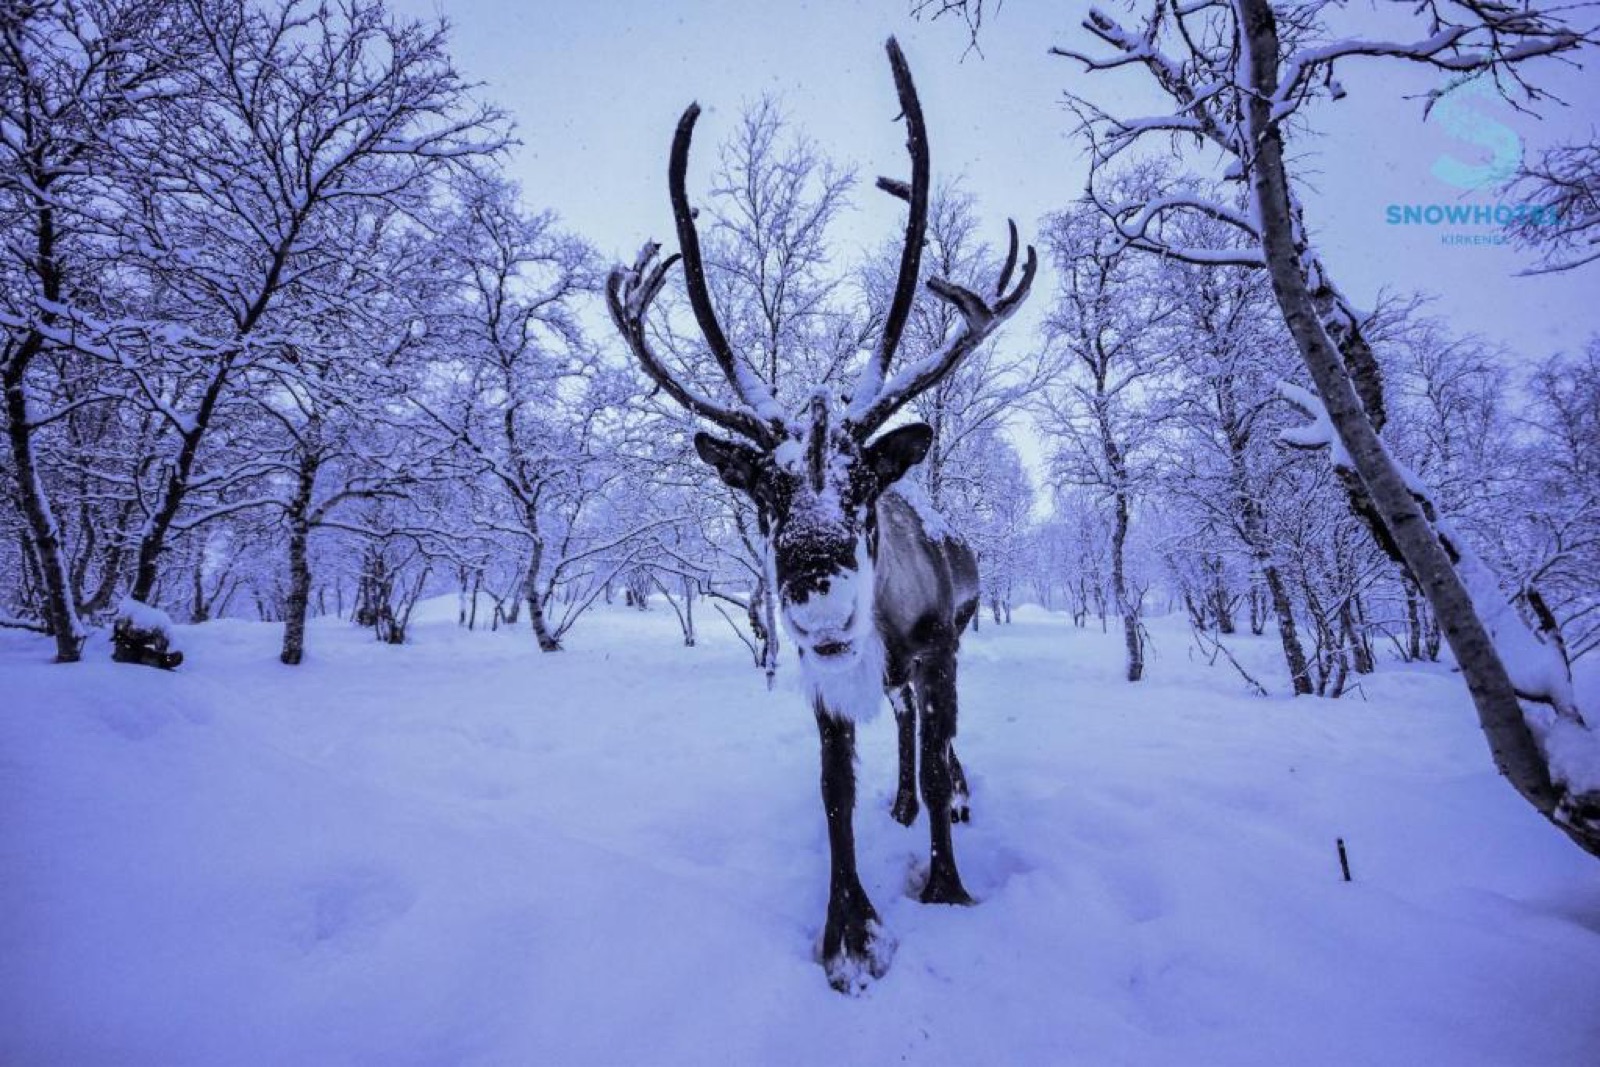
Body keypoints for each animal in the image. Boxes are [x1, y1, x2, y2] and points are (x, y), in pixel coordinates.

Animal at [606, 37, 1035, 993]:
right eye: (762, 490)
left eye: (863, 483)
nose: (815, 591)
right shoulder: (820, 679)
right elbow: (834, 792)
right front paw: (849, 934)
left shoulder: (938, 646)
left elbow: (941, 744)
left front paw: (945, 887)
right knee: (907, 726)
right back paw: (903, 798)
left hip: (954, 644)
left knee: (938, 731)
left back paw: (948, 795)